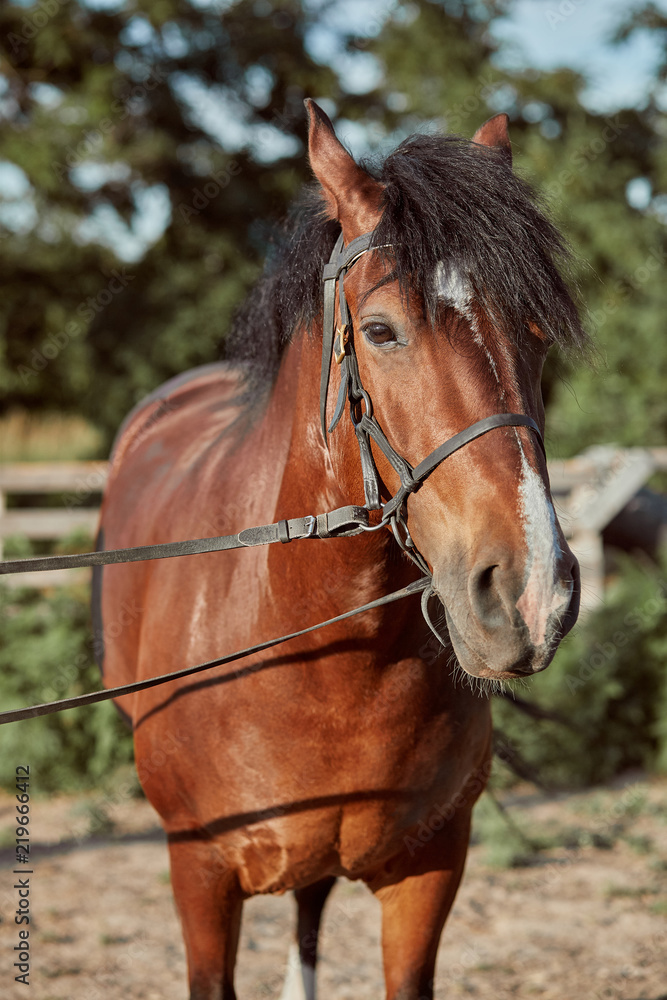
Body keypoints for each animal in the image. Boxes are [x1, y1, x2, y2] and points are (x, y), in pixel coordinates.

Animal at [96, 103, 588, 1000]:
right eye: (381, 330)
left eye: (534, 334)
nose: (531, 595)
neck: (322, 656)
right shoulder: (200, 876)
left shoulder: (431, 870)